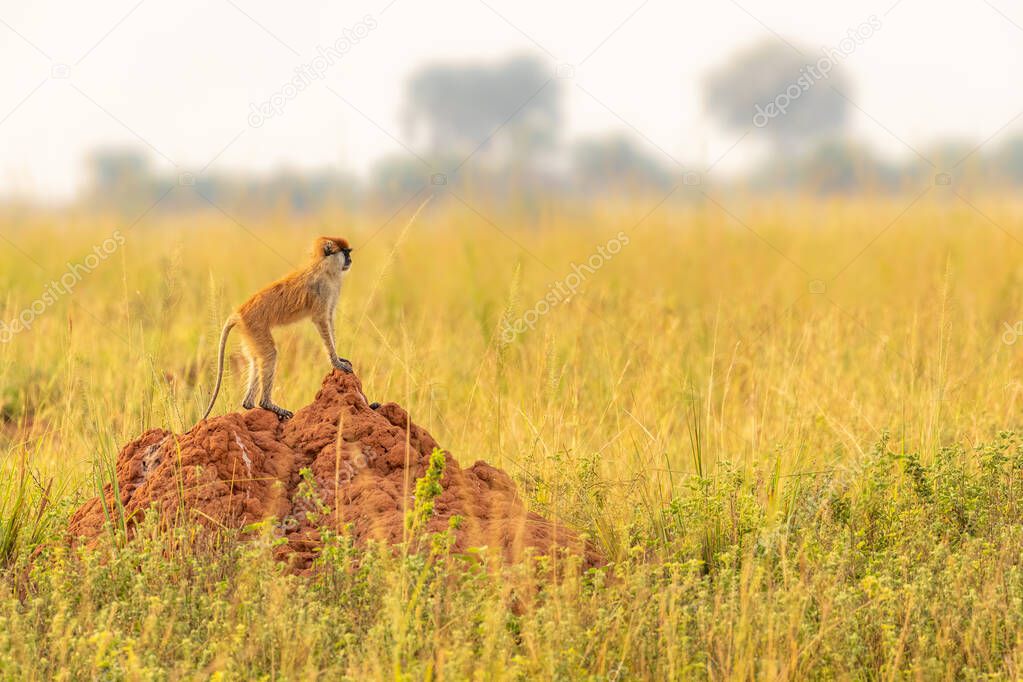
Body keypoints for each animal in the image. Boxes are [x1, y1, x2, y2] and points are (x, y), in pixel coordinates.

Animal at [201, 236, 353, 421]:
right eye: (345, 252)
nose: (350, 259)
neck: (323, 266)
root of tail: (239, 313)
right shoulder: (322, 289)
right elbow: (321, 320)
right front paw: (336, 362)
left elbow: (329, 319)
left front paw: (338, 359)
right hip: (255, 327)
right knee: (269, 355)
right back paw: (267, 405)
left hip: (249, 333)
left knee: (257, 359)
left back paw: (249, 404)